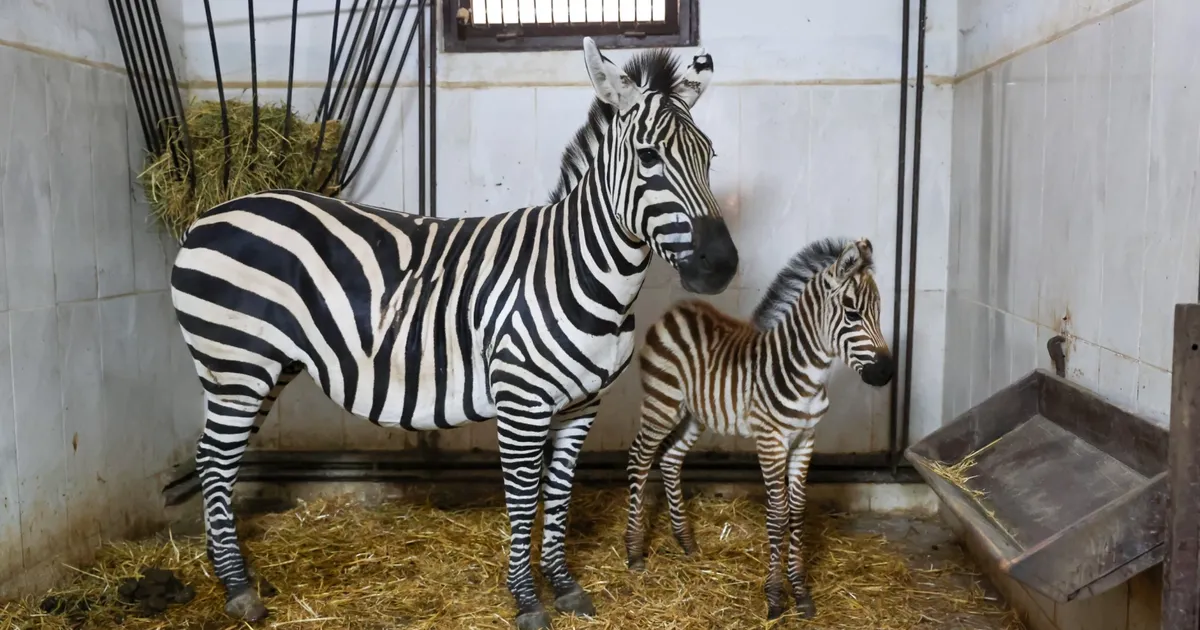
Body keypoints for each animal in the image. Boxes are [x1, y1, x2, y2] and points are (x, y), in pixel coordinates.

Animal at [170, 38, 738, 630]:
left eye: (710, 157)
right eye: (649, 157)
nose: (721, 266)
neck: (579, 268)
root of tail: (209, 214)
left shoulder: (583, 404)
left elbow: (559, 492)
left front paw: (564, 586)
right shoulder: (521, 401)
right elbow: (523, 495)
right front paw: (527, 600)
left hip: (261, 368)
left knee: (214, 459)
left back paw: (223, 568)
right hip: (237, 364)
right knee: (216, 461)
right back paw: (238, 589)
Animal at [623, 237, 894, 621]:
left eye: (879, 312)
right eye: (853, 313)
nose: (885, 373)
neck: (806, 373)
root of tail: (676, 310)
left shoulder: (805, 439)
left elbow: (797, 511)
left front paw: (801, 593)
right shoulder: (771, 441)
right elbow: (778, 515)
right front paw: (776, 597)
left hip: (695, 414)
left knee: (670, 460)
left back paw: (686, 542)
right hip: (662, 404)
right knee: (639, 459)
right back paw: (634, 552)